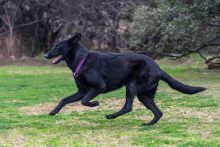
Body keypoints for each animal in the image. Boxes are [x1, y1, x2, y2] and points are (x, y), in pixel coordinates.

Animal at [44, 33, 206, 125]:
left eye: (58, 47)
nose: (45, 55)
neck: (81, 60)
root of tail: (158, 68)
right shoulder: (82, 91)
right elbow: (64, 100)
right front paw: (54, 111)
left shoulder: (98, 87)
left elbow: (84, 101)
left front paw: (95, 103)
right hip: (144, 95)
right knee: (158, 112)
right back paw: (148, 124)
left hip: (131, 85)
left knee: (128, 107)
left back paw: (111, 116)